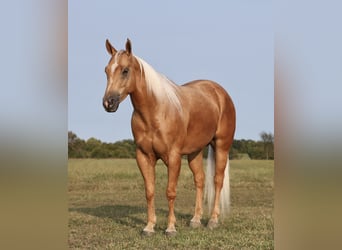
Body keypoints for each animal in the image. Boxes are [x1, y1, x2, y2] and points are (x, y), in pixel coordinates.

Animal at [102, 38, 235, 235]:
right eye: (106, 70)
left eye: (125, 70)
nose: (108, 103)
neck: (155, 112)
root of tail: (219, 92)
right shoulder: (143, 156)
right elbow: (149, 191)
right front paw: (149, 227)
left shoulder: (173, 157)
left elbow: (170, 191)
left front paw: (170, 228)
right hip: (195, 152)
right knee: (200, 180)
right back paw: (195, 220)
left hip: (221, 146)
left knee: (217, 181)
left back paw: (212, 220)